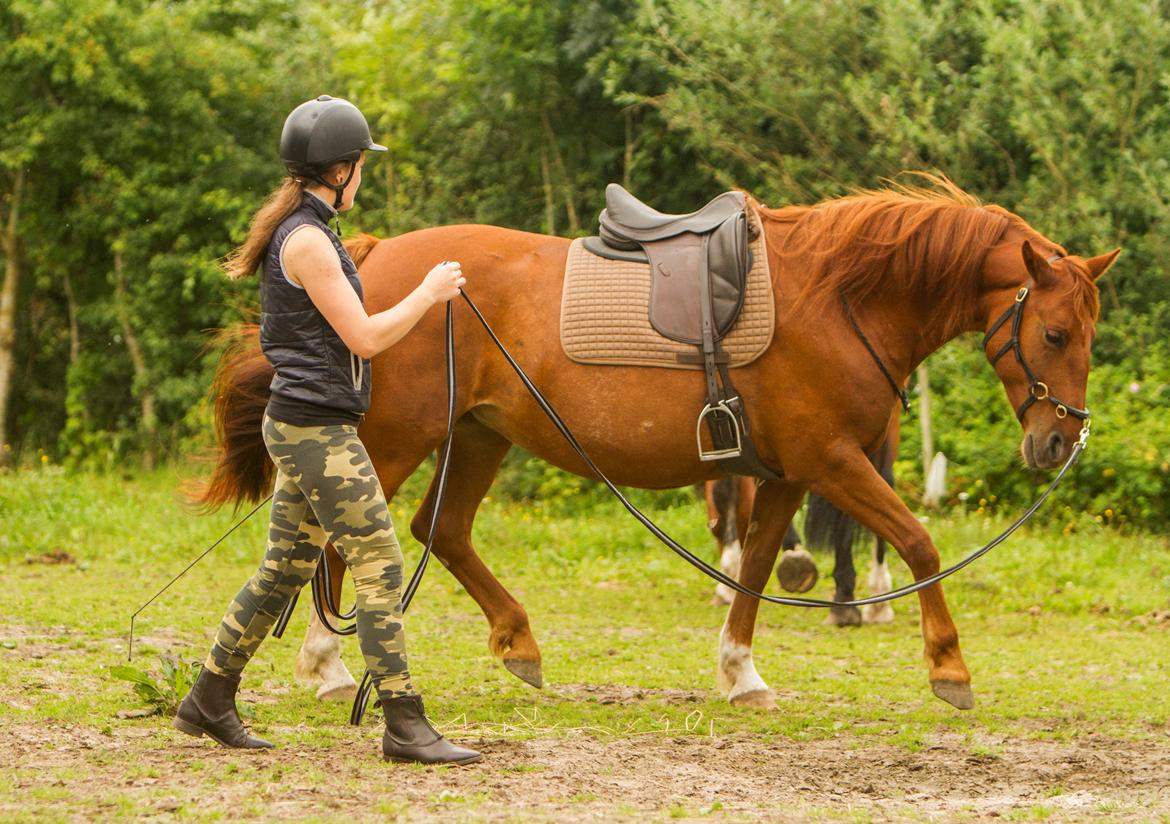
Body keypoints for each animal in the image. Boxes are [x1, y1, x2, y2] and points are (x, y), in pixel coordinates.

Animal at [198, 176, 1113, 711]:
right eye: (1056, 333)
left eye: (1089, 336)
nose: (1058, 444)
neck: (840, 298)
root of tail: (370, 258)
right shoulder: (832, 465)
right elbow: (921, 541)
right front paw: (949, 668)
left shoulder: (787, 474)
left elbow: (756, 568)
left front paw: (740, 673)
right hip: (393, 440)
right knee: (343, 536)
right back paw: (327, 664)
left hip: (480, 436)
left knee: (441, 532)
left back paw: (519, 644)